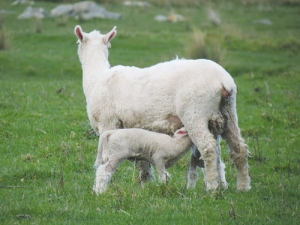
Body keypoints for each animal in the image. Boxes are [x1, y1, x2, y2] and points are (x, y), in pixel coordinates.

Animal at [75, 25, 251, 192]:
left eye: (77, 43)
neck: (96, 78)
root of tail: (223, 81)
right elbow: (142, 160)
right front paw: (145, 185)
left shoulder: (107, 123)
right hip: (227, 113)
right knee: (238, 148)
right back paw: (242, 187)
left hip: (195, 112)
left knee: (208, 148)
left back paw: (212, 187)